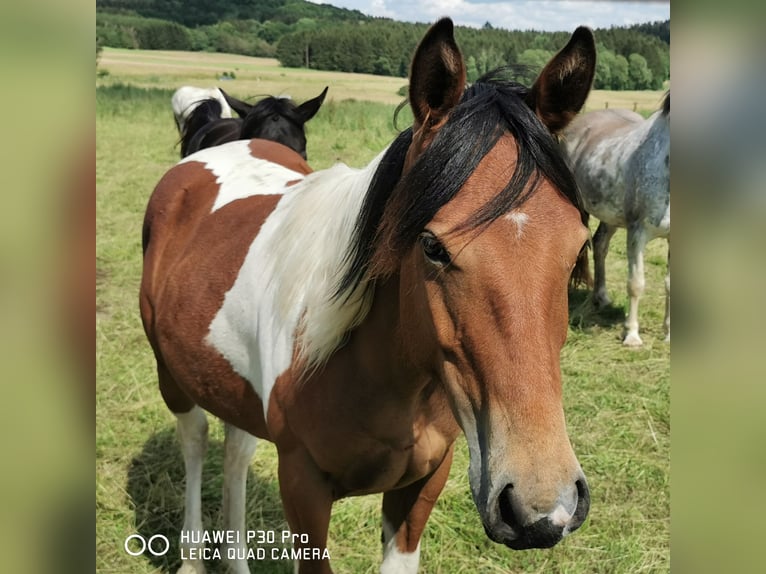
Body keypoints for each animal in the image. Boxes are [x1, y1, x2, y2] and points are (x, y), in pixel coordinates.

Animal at [560, 94, 668, 346]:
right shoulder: (637, 232)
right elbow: (636, 284)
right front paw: (632, 335)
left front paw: (669, 333)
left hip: (611, 215)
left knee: (600, 245)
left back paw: (602, 297)